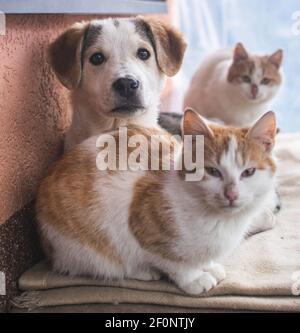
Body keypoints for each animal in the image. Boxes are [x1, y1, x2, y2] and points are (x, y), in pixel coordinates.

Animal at [36, 110, 278, 294]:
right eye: (212, 171)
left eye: (248, 172)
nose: (231, 194)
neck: (219, 221)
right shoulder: (143, 228)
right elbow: (172, 261)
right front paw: (194, 278)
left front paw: (208, 267)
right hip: (83, 244)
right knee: (105, 264)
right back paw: (142, 271)